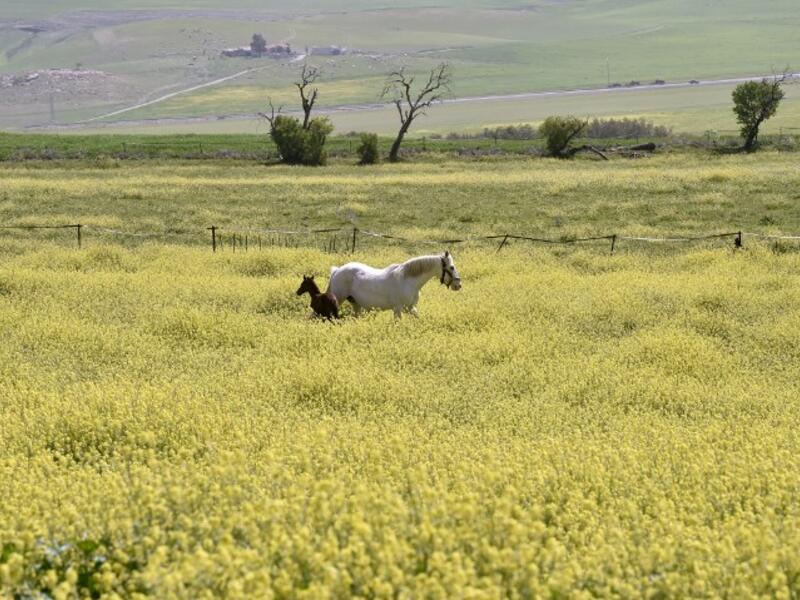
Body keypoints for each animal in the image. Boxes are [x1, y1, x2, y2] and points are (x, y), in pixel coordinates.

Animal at [327, 251, 461, 318]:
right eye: (451, 267)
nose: (458, 285)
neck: (408, 281)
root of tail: (337, 271)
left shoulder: (411, 307)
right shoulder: (398, 309)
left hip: (356, 304)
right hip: (338, 300)